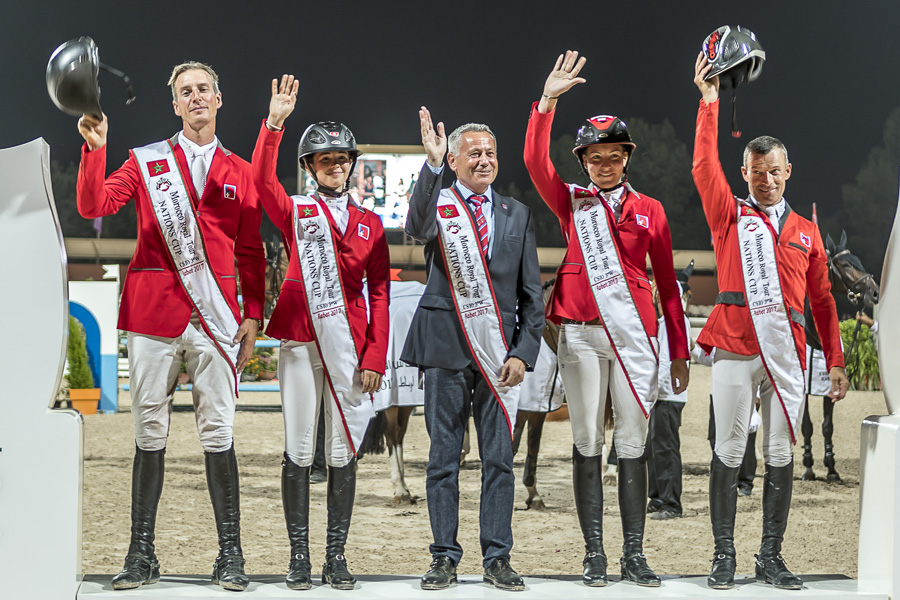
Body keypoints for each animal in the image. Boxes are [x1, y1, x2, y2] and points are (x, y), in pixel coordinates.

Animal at [800, 230, 879, 481]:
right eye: (844, 264)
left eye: (858, 260)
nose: (874, 292)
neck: (815, 339)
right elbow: (807, 425)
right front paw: (808, 467)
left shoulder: (830, 385)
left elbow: (827, 426)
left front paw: (832, 468)